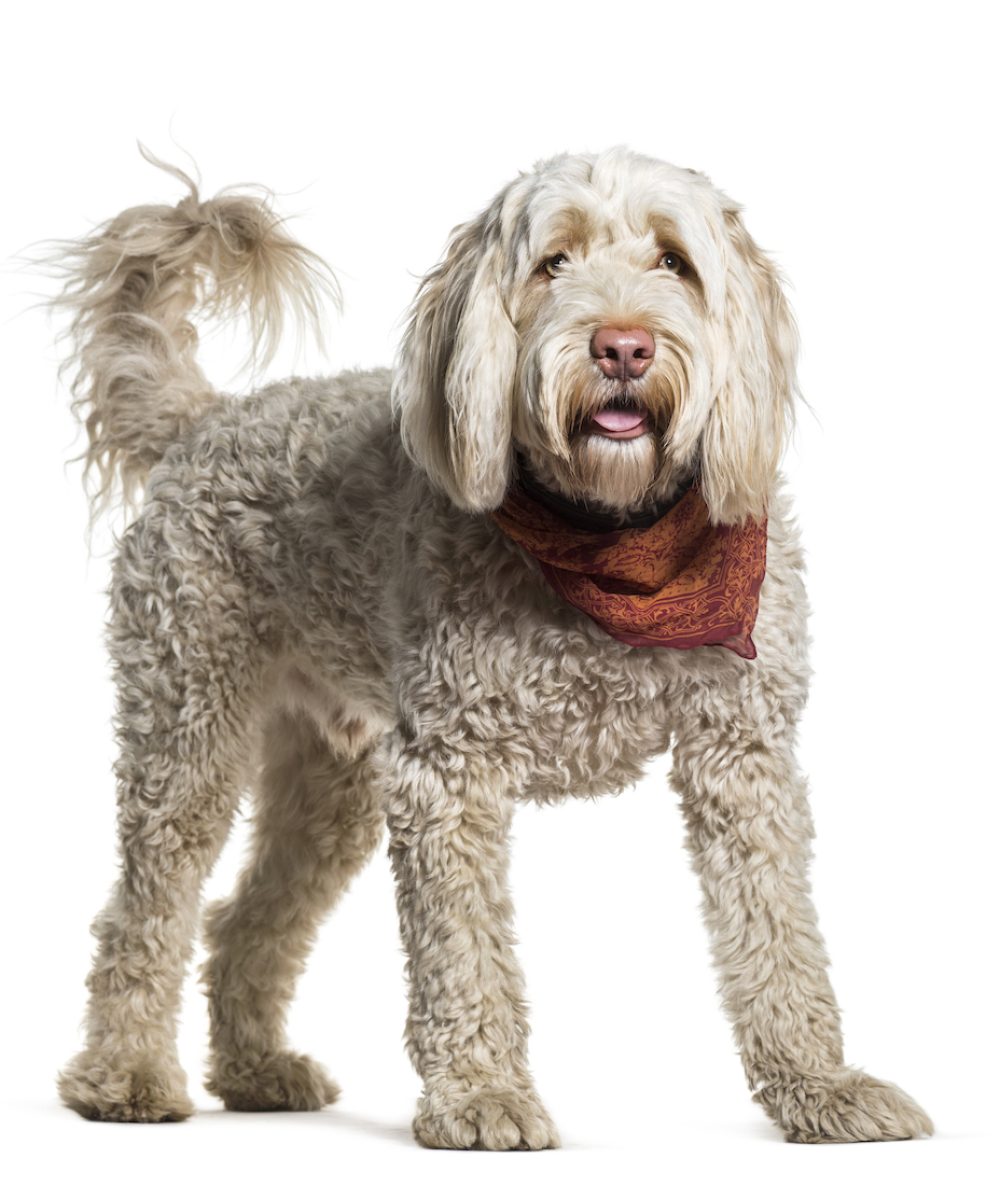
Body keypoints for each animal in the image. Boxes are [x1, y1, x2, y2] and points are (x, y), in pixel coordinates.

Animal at [52, 145, 926, 1147]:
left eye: (674, 262)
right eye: (553, 262)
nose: (621, 347)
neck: (613, 540)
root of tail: (207, 419)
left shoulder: (742, 757)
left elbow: (781, 936)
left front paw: (822, 1086)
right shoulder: (447, 772)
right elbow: (462, 951)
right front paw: (479, 1096)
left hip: (334, 780)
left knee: (242, 917)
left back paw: (256, 1070)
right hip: (187, 726)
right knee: (143, 912)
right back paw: (123, 1077)